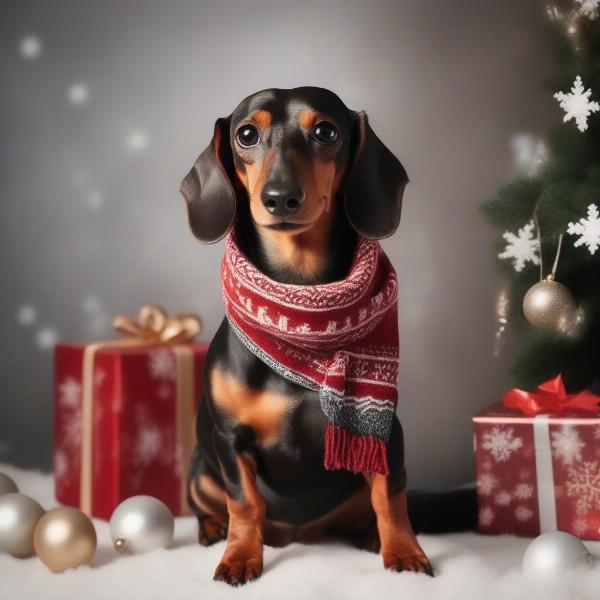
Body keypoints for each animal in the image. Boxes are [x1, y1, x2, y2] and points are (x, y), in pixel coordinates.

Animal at [178, 86, 474, 584]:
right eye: (246, 134)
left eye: (325, 132)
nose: (280, 198)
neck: (298, 303)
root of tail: (302, 535)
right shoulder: (229, 439)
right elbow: (245, 503)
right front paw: (239, 557)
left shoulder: (384, 433)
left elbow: (389, 498)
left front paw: (404, 551)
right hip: (200, 468)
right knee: (209, 505)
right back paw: (213, 528)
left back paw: (368, 536)